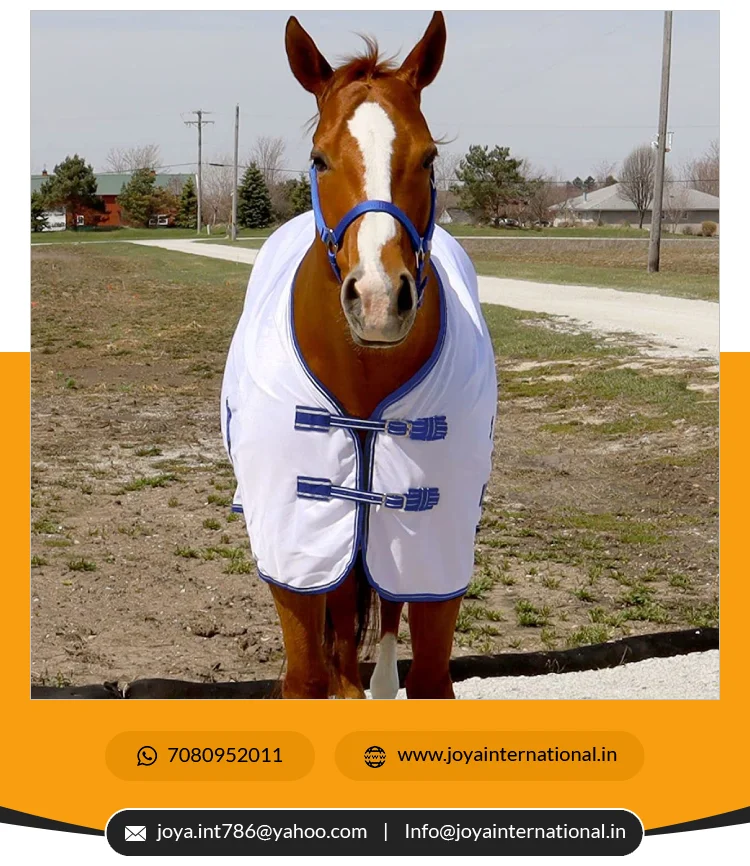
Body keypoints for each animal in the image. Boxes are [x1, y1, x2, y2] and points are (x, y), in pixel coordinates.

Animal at [221, 12, 496, 699]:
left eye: (428, 157)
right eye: (319, 158)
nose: (376, 298)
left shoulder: (432, 550)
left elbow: (429, 677)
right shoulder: (295, 552)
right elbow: (307, 678)